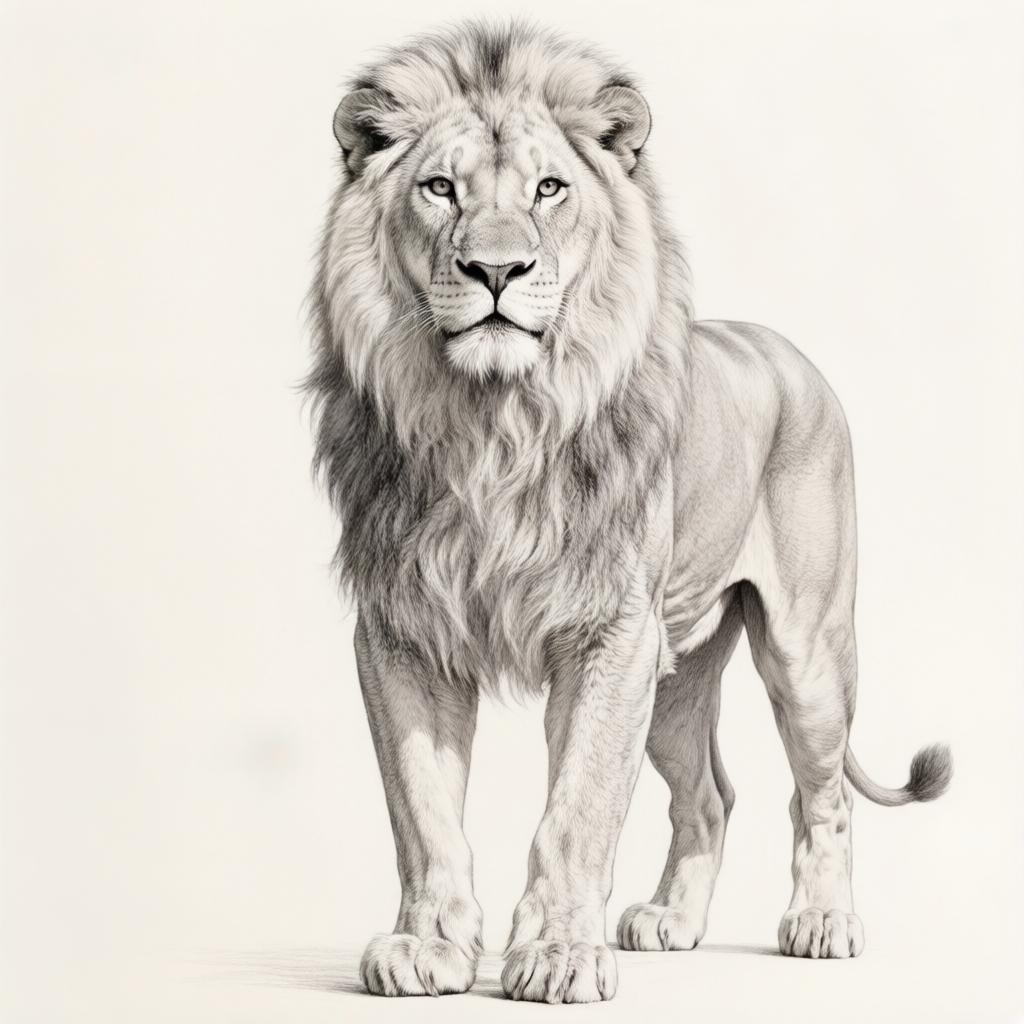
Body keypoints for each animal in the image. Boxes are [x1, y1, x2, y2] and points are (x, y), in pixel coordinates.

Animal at [304, 21, 951, 1004]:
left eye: (549, 188)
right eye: (440, 188)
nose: (496, 268)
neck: (492, 419)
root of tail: (783, 349)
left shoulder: (609, 633)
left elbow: (578, 807)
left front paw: (558, 957)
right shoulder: (402, 630)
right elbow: (420, 806)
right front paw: (428, 946)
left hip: (804, 651)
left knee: (823, 792)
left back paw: (823, 923)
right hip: (678, 677)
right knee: (710, 795)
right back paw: (671, 923)